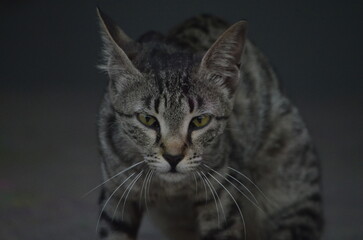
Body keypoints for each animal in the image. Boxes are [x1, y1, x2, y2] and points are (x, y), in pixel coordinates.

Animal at [94, 6, 324, 239]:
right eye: (147, 119)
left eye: (200, 121)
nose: (173, 157)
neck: (171, 190)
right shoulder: (115, 193)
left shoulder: (222, 193)